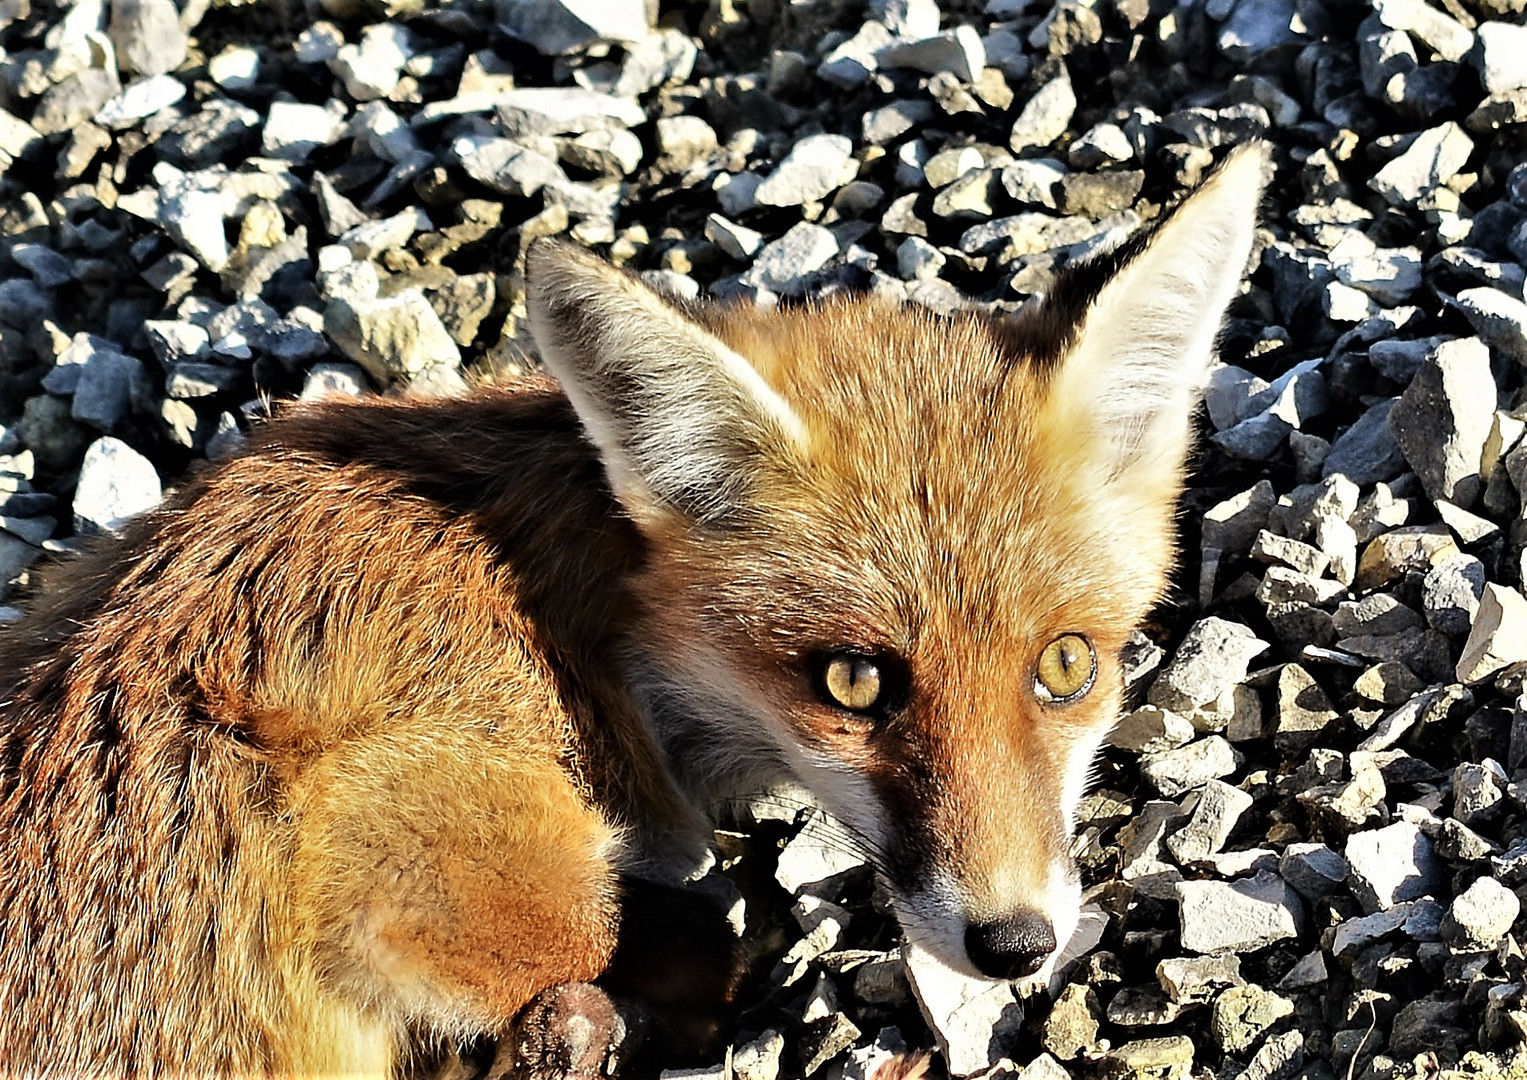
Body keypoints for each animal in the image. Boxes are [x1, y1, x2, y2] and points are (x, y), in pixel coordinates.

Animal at [0, 141, 1264, 1075]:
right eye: (853, 682)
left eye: (1068, 666)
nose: (1014, 945)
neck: (572, 633)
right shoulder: (391, 830)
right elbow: (611, 920)